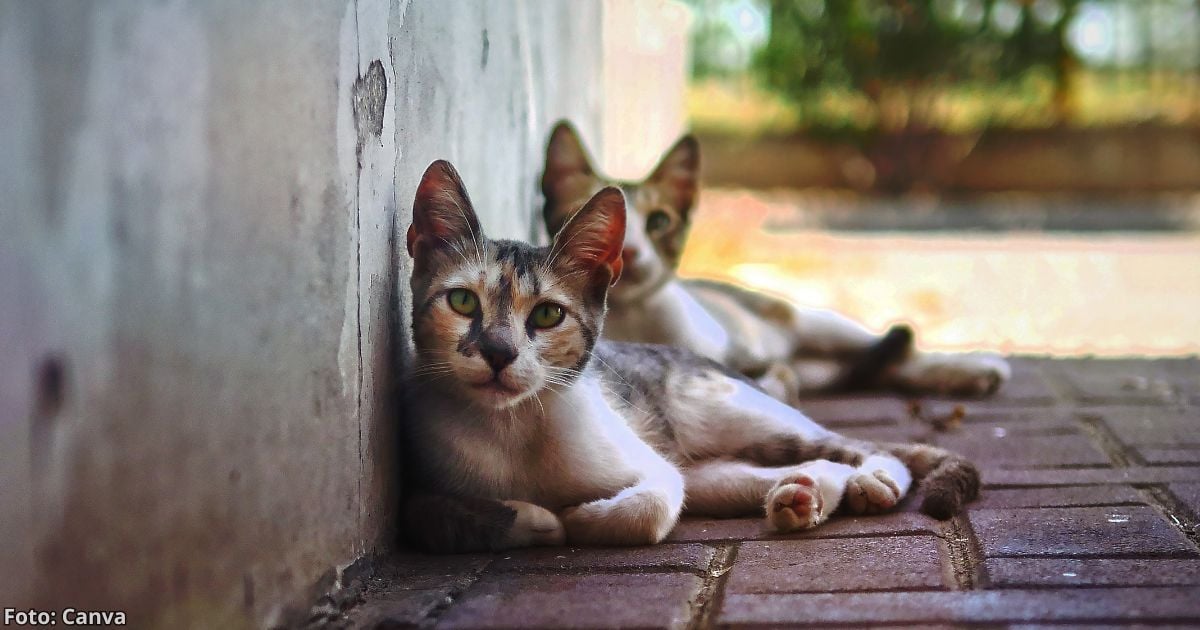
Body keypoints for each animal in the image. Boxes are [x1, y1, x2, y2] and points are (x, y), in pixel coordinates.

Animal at [398, 159, 979, 552]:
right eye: (462, 301)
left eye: (546, 314)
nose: (498, 352)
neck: (512, 429)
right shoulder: (423, 482)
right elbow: (432, 518)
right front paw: (532, 518)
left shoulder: (653, 470)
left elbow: (652, 505)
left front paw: (577, 517)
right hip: (714, 474)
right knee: (791, 468)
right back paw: (803, 495)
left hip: (740, 417)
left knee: (864, 448)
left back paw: (870, 481)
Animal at [542, 120, 1012, 400]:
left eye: (658, 221)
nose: (629, 251)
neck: (635, 320)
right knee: (874, 367)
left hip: (811, 321)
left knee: (888, 350)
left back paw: (966, 369)